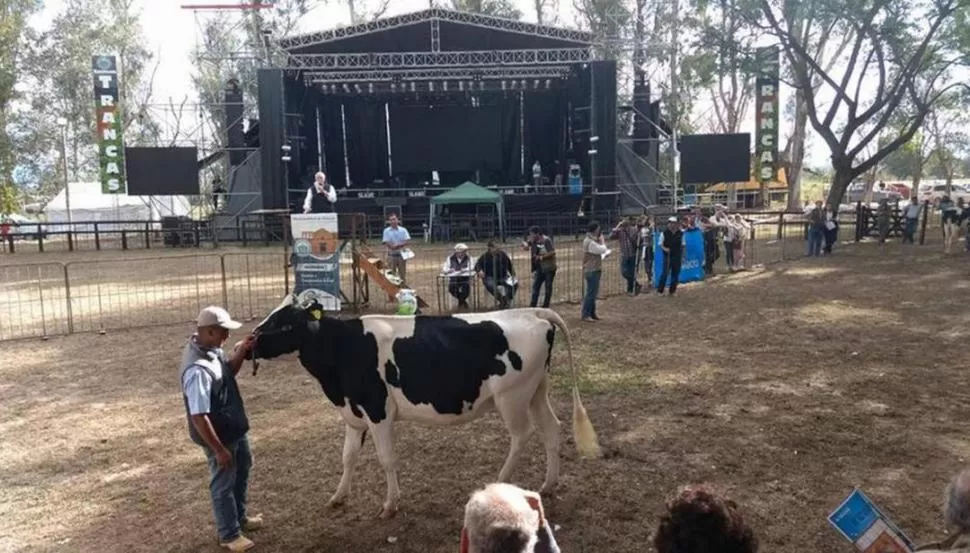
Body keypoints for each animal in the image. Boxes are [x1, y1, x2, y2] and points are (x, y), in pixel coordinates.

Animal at [251, 296, 596, 520]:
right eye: (271, 316)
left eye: (285, 324)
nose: (252, 340)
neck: (343, 348)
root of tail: (534, 312)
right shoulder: (353, 414)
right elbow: (348, 457)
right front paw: (338, 497)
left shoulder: (378, 411)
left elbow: (386, 459)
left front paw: (390, 505)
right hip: (536, 390)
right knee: (551, 429)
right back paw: (548, 485)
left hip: (512, 396)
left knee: (522, 435)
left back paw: (500, 480)